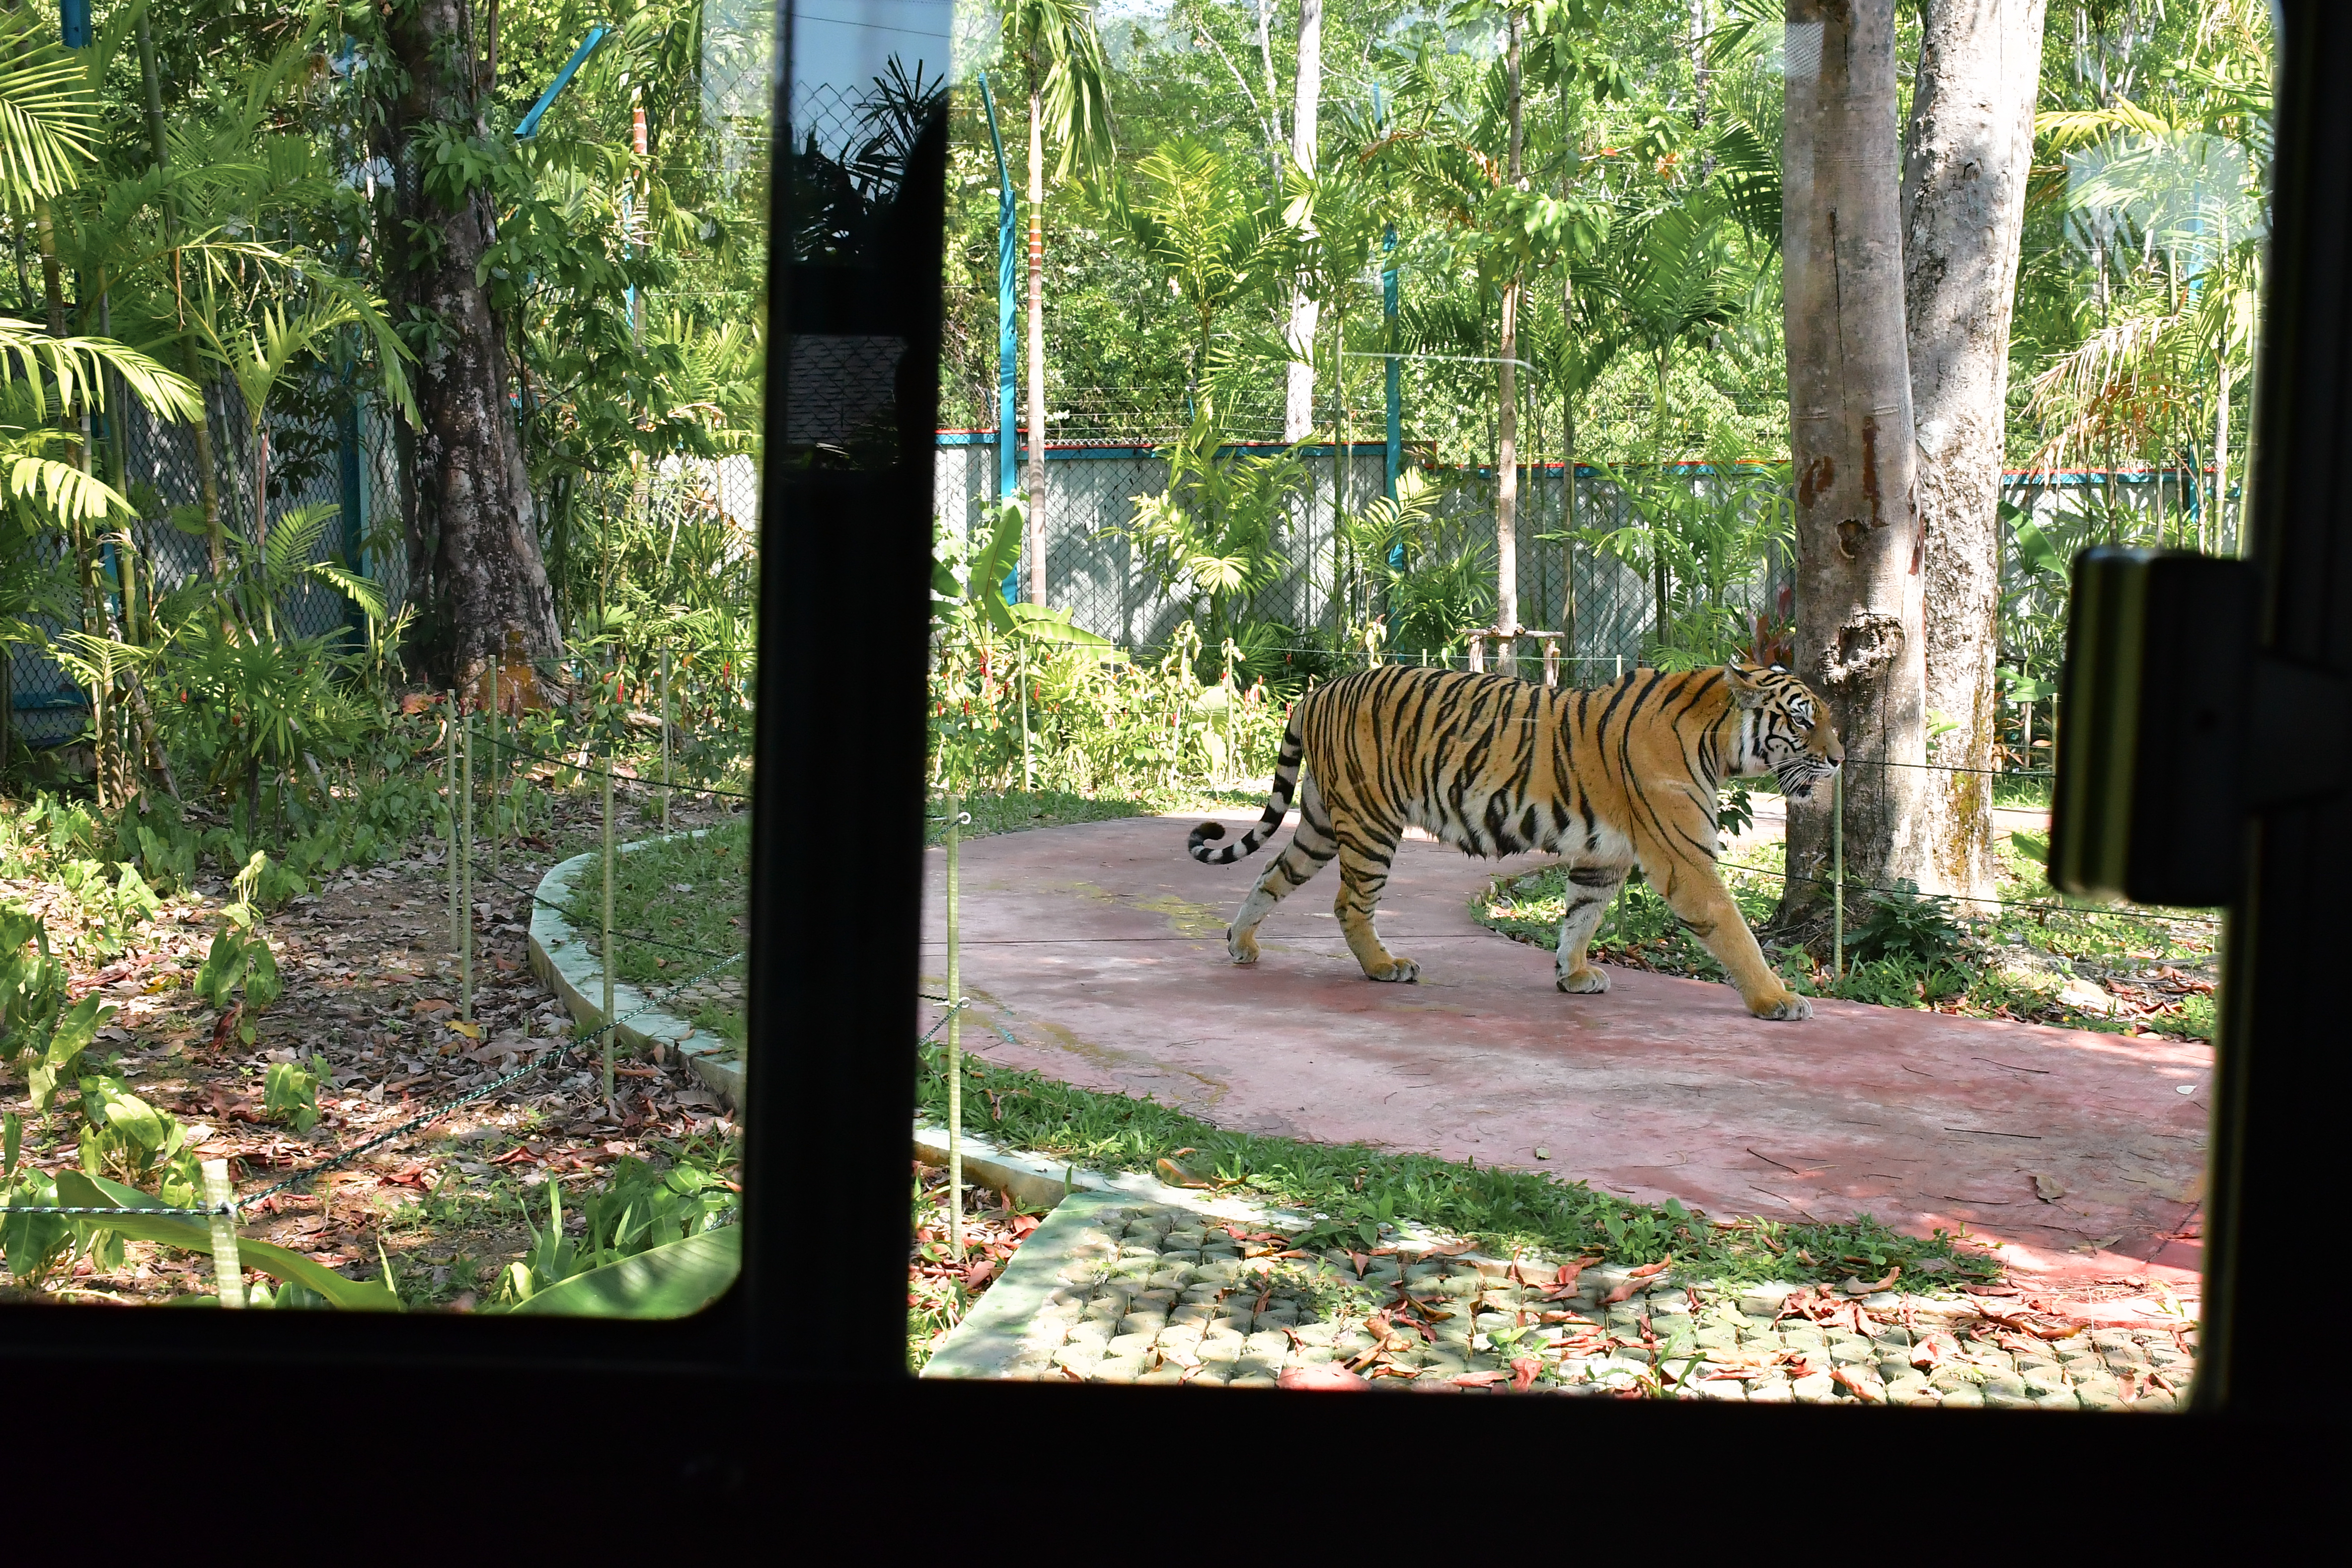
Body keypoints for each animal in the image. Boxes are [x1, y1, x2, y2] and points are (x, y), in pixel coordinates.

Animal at [1186, 660, 1843, 1021]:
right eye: (1803, 719)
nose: (1839, 759)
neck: (1719, 738)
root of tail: (1317, 691)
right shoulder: (1686, 859)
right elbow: (1735, 932)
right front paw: (1777, 1000)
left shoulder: (1604, 857)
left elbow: (1582, 915)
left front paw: (1572, 975)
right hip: (1370, 821)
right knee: (1349, 903)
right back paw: (1384, 966)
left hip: (1324, 822)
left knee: (1271, 875)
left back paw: (1241, 943)